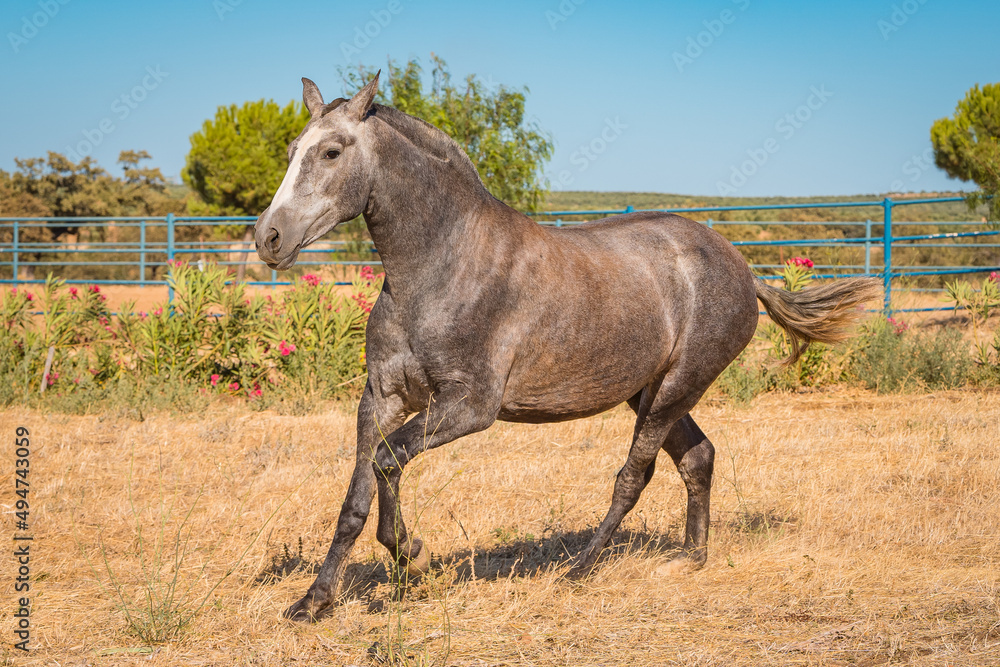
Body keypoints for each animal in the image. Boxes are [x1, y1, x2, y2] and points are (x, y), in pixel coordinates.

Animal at [254, 73, 880, 621]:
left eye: (332, 152)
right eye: (290, 149)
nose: (269, 238)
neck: (440, 267)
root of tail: (744, 271)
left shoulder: (470, 406)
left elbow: (387, 465)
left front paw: (416, 558)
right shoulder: (381, 398)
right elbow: (355, 498)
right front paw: (313, 602)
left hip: (675, 388)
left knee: (634, 475)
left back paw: (578, 569)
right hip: (650, 391)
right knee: (698, 457)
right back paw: (689, 560)